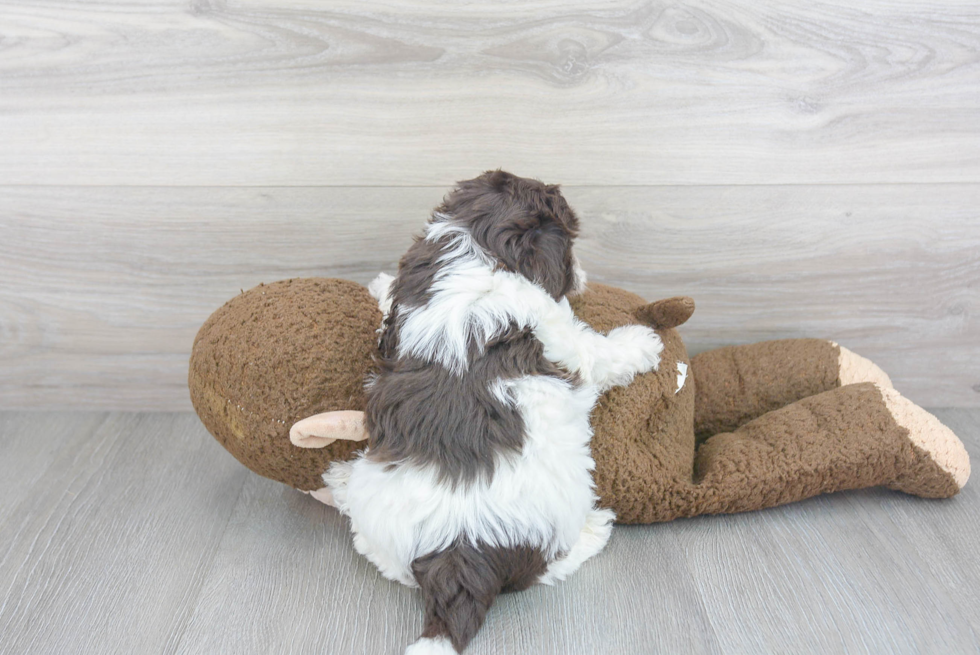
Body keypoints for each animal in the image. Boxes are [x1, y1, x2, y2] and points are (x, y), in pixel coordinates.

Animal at [326, 172, 664, 652]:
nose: (581, 276)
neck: (476, 249)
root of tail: (457, 552)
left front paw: (379, 283)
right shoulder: (559, 332)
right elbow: (599, 352)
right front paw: (642, 343)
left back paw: (339, 482)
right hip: (564, 504)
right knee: (548, 567)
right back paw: (595, 531)